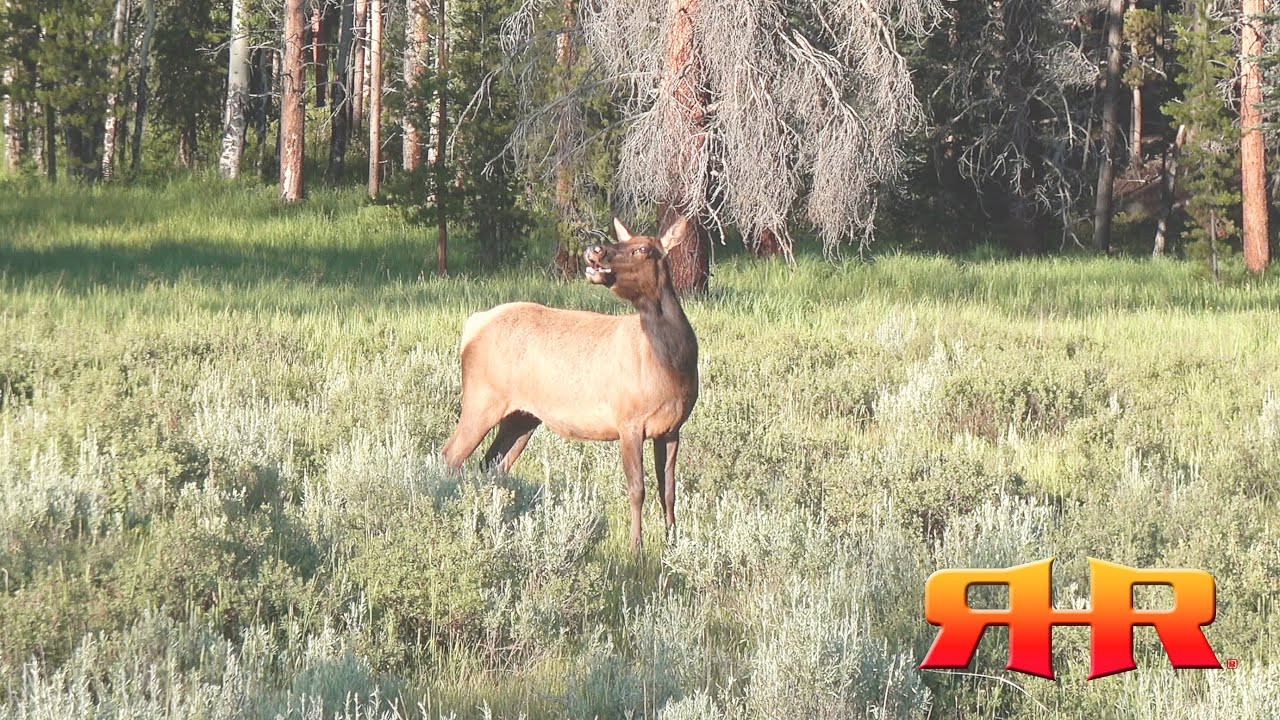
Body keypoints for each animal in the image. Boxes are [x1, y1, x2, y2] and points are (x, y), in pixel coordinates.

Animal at [442, 218, 699, 553]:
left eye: (643, 248)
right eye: (622, 241)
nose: (595, 249)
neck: (672, 366)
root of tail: (472, 327)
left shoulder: (672, 428)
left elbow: (669, 490)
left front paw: (673, 544)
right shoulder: (628, 421)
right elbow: (637, 489)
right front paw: (637, 550)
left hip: (522, 417)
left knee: (491, 464)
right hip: (481, 398)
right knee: (450, 456)